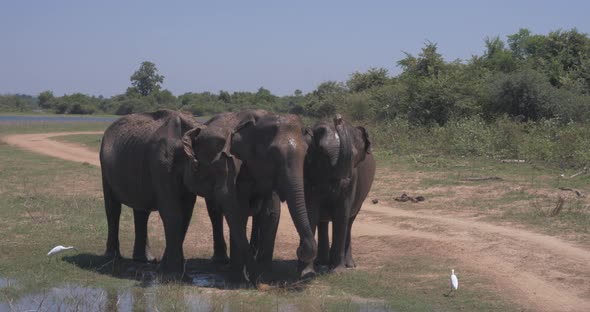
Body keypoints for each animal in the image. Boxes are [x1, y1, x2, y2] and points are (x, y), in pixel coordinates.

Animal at [99, 109, 256, 278]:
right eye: (216, 171)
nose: (255, 281)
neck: (194, 131)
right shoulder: (161, 163)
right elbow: (172, 212)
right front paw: (174, 274)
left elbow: (186, 213)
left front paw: (167, 270)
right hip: (104, 166)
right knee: (112, 208)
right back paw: (113, 257)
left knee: (141, 210)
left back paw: (145, 260)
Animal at [206, 109, 322, 278]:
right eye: (273, 154)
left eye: (306, 153)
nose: (299, 250)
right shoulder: (239, 166)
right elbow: (239, 210)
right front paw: (241, 275)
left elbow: (270, 212)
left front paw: (265, 274)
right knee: (215, 212)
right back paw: (224, 262)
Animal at [302, 114, 376, 272]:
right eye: (323, 153)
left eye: (353, 156)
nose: (338, 118)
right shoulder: (307, 171)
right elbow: (311, 210)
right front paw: (307, 271)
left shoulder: (353, 178)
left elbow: (341, 213)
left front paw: (338, 271)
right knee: (322, 221)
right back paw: (322, 263)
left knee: (349, 221)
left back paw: (348, 264)